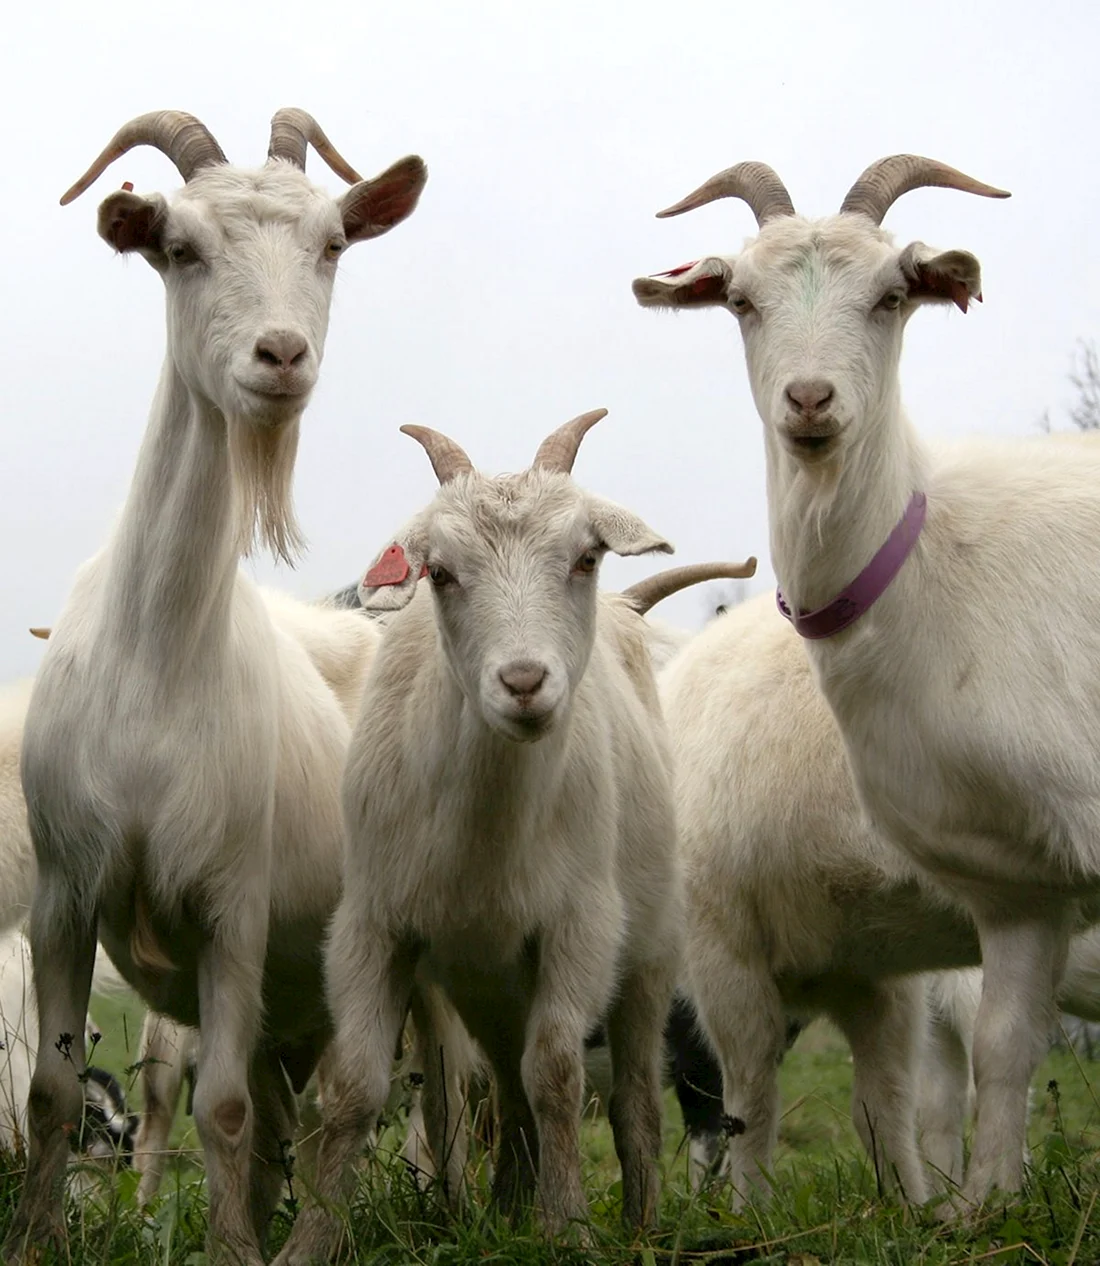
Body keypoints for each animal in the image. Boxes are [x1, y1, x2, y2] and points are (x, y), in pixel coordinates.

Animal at [5, 109, 425, 1265]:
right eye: (179, 246)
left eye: (332, 244)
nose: (280, 356)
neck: (154, 668)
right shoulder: (62, 894)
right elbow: (51, 1090)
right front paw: (36, 1239)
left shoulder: (231, 907)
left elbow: (223, 1108)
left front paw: (231, 1249)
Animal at [631, 152, 1100, 1208]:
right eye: (740, 300)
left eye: (892, 295)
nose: (809, 402)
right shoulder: (961, 917)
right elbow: (902, 1094)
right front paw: (952, 1213)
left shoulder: (719, 929)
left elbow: (752, 1093)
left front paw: (744, 1214)